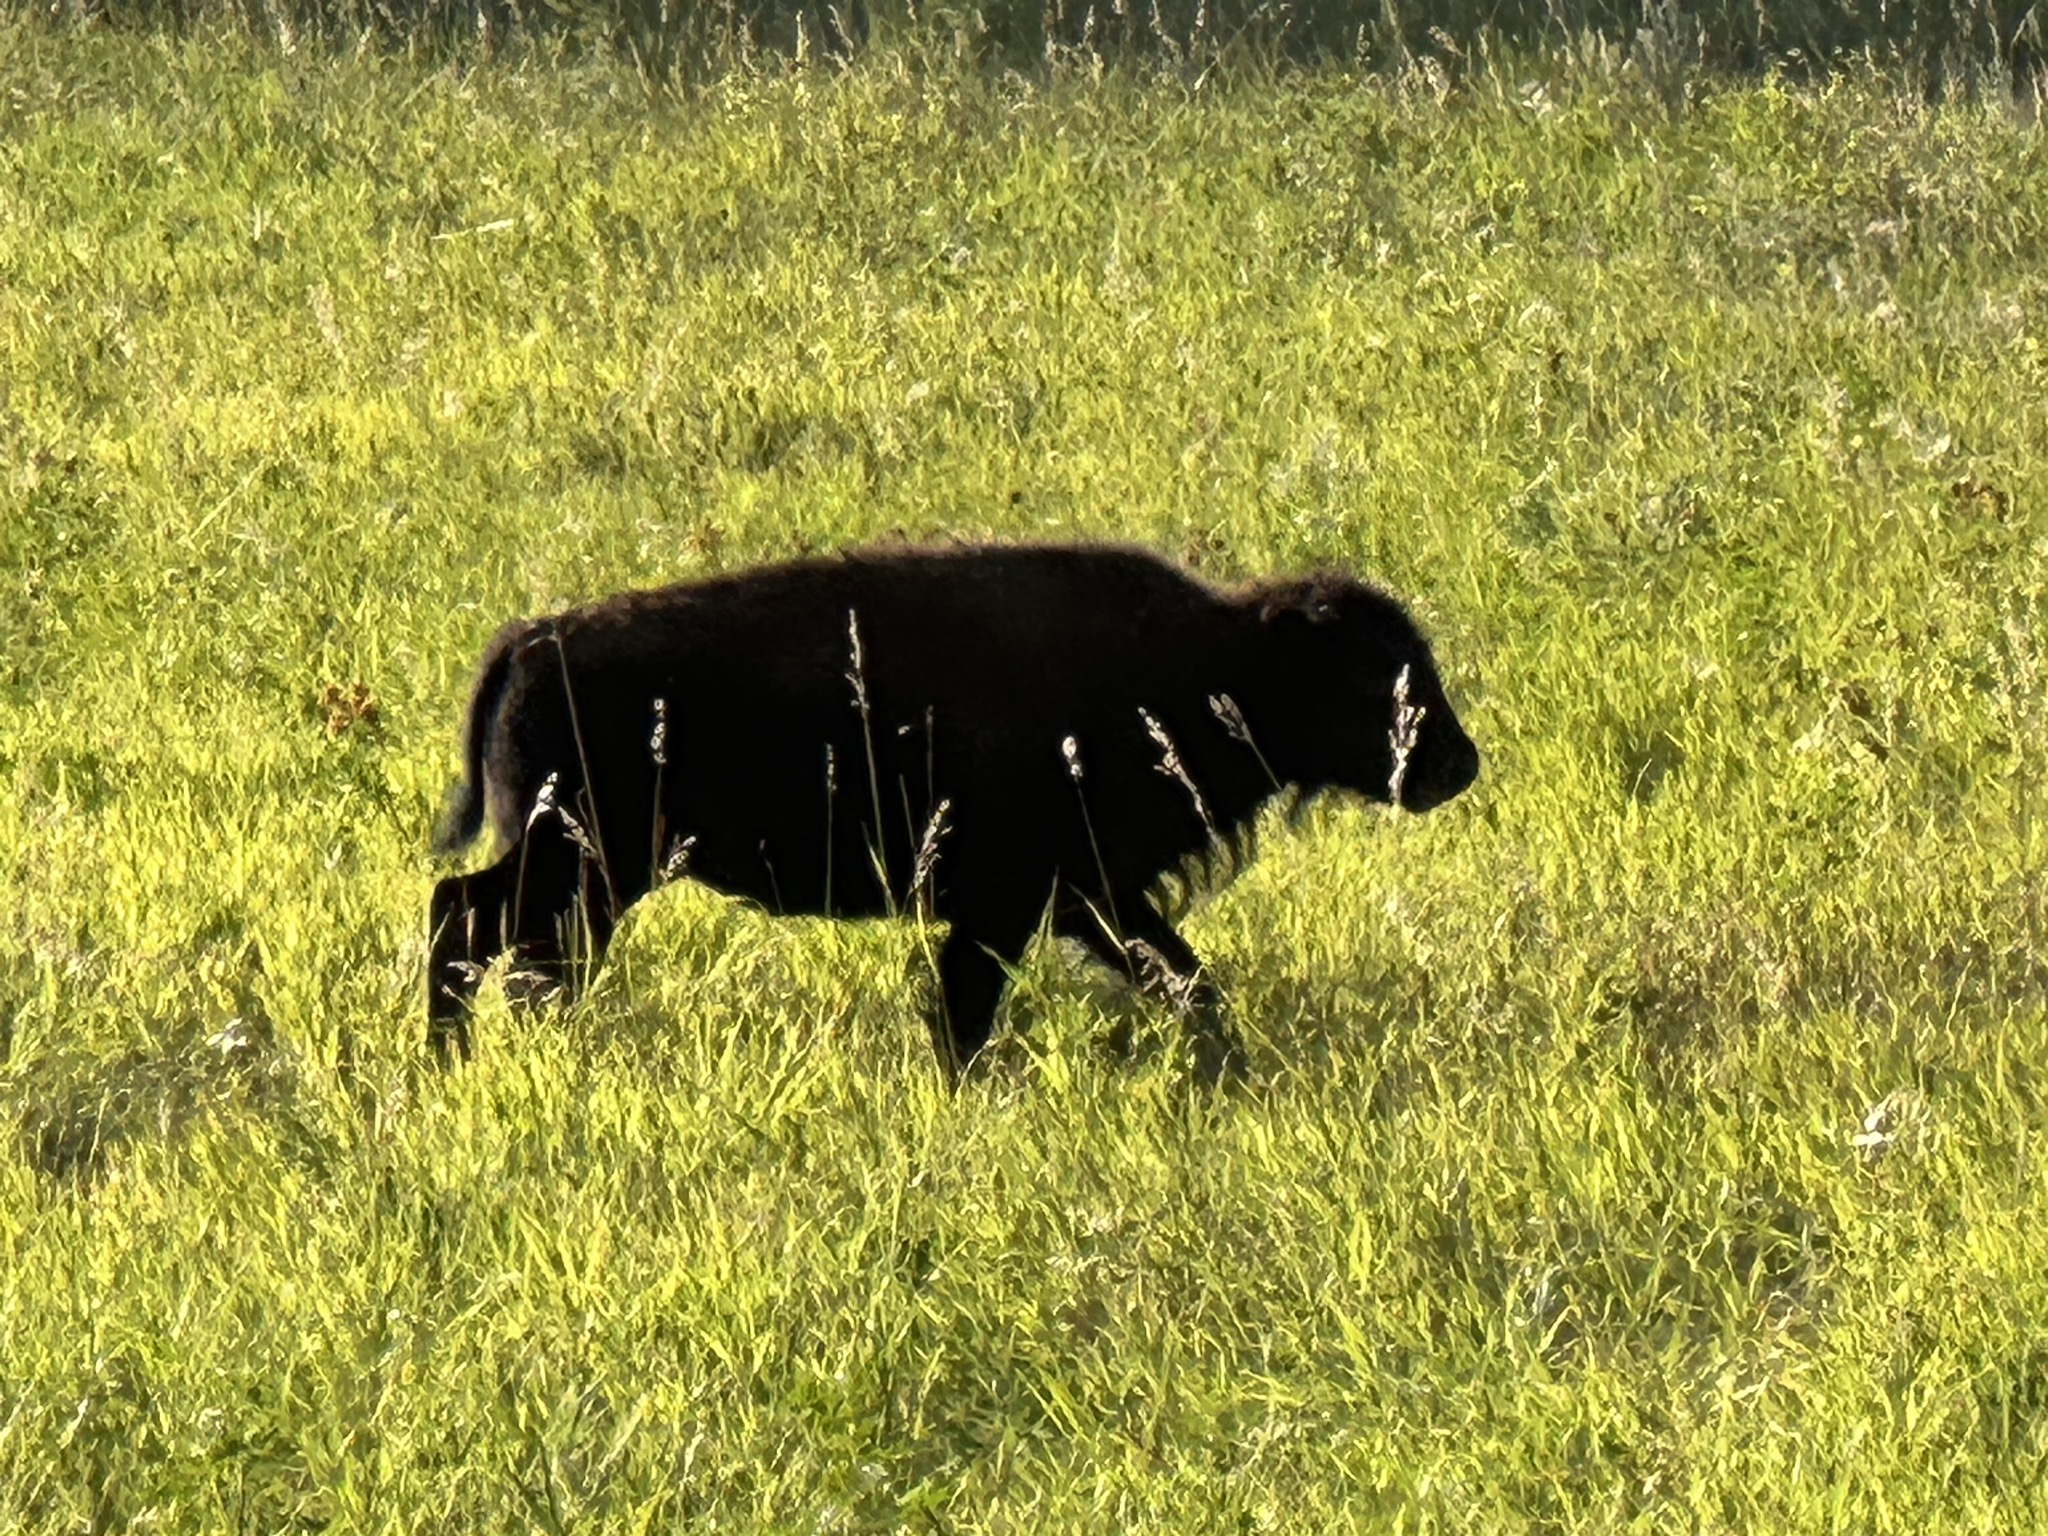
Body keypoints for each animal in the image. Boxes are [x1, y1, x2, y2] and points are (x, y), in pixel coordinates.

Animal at [428, 543, 1479, 1076]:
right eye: (1371, 671)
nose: (1458, 765)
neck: (1216, 664)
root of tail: (534, 639)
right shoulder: (1015, 902)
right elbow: (971, 1003)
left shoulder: (1088, 896)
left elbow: (1184, 977)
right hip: (580, 865)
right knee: (465, 922)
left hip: (590, 877)